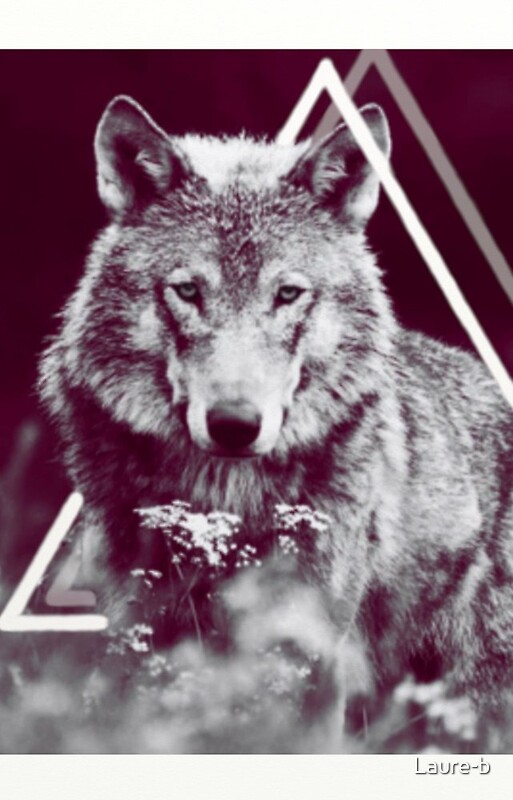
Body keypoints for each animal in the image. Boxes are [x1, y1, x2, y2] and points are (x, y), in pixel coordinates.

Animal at [39, 95, 513, 727]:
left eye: (287, 295)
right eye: (188, 291)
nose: (235, 425)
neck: (224, 500)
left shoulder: (312, 651)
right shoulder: (138, 630)